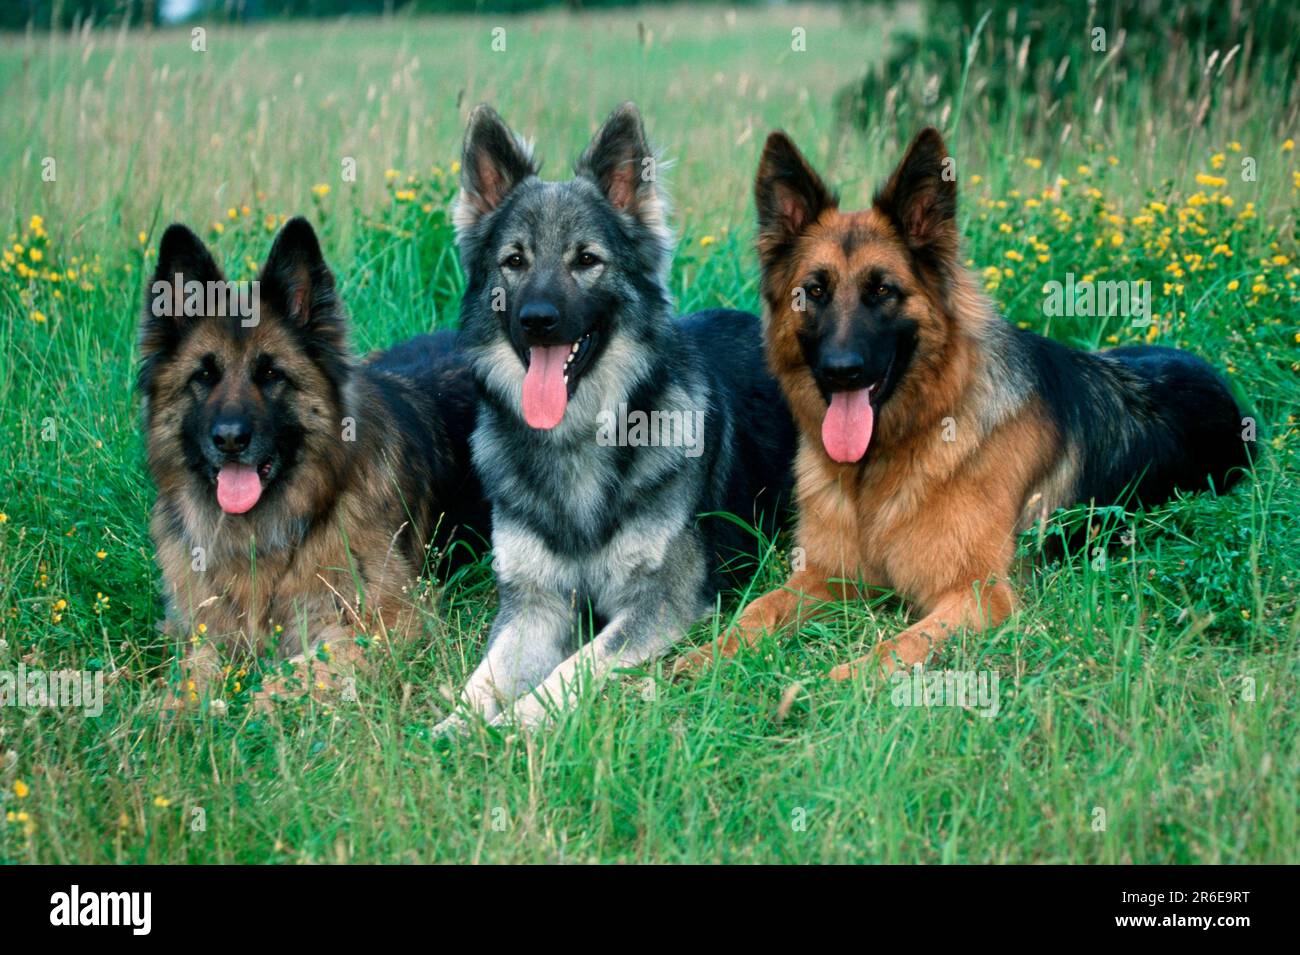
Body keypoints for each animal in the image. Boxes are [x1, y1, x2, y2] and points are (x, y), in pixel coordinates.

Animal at [139, 220, 488, 706]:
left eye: (271, 374)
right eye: (204, 376)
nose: (229, 440)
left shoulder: (391, 622)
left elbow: (294, 673)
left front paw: (253, 707)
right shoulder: (202, 628)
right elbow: (190, 673)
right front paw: (167, 710)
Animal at [436, 104, 795, 732]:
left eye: (586, 260)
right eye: (514, 261)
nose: (537, 320)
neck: (578, 440)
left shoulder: (659, 604)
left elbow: (575, 666)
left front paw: (514, 725)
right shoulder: (534, 605)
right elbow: (485, 675)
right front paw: (453, 728)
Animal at [681, 127, 1248, 680]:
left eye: (883, 291)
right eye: (813, 292)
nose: (841, 371)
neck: (889, 458)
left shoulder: (978, 596)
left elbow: (893, 649)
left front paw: (834, 684)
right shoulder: (827, 575)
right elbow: (758, 610)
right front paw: (704, 656)